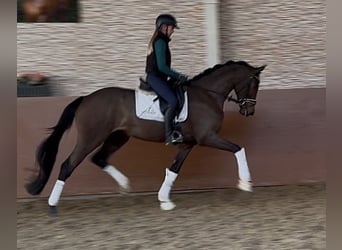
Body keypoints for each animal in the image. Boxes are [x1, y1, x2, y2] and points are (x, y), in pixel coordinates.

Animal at [26, 60, 268, 215]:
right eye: (254, 83)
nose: (249, 111)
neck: (207, 95)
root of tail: (85, 99)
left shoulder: (188, 144)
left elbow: (174, 169)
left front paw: (164, 200)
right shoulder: (208, 137)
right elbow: (239, 148)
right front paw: (245, 183)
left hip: (118, 137)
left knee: (99, 159)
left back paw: (125, 186)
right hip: (90, 138)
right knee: (68, 165)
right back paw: (52, 205)